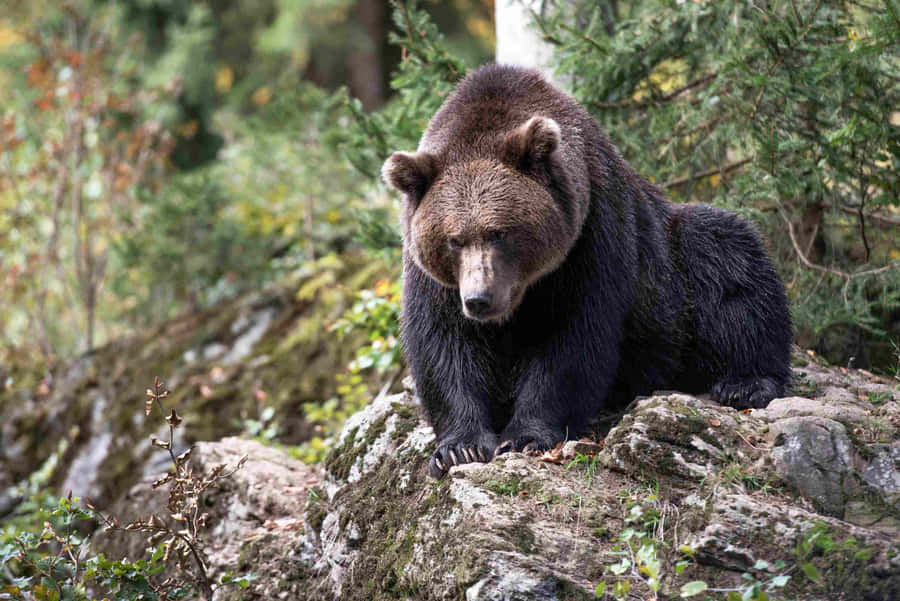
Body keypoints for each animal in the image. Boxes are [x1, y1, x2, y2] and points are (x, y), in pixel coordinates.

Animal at [382, 64, 792, 478]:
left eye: (499, 232)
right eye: (454, 239)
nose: (480, 299)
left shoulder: (590, 237)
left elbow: (571, 340)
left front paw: (527, 436)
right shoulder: (433, 277)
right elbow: (444, 345)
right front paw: (459, 447)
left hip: (674, 273)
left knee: (728, 261)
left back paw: (745, 382)